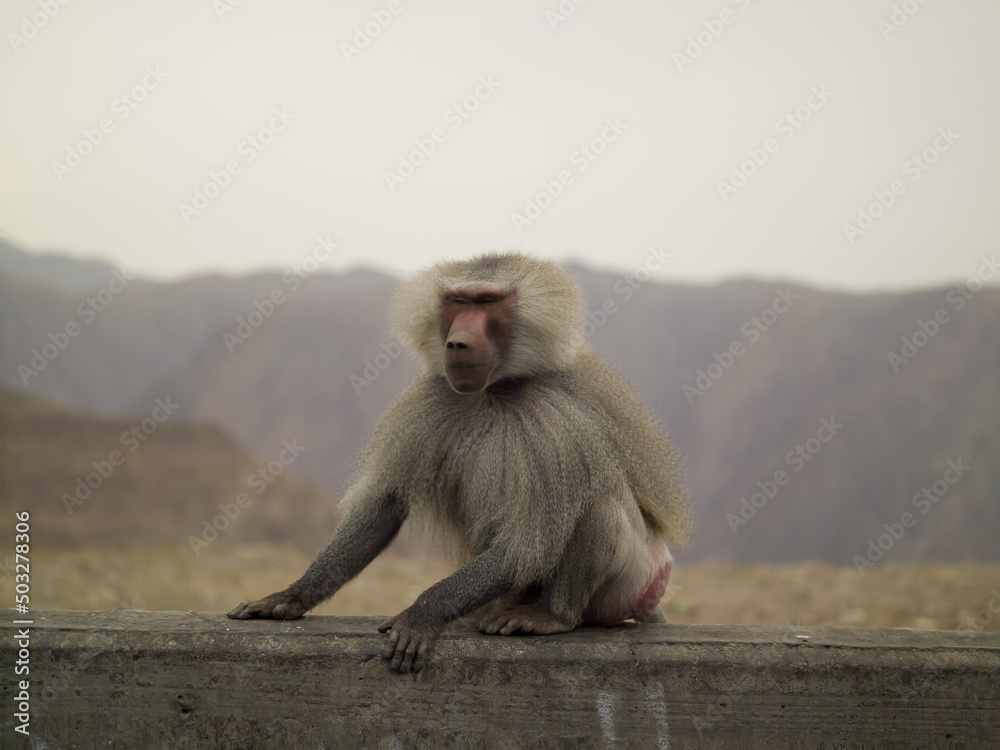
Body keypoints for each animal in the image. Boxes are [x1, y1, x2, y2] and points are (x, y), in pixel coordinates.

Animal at [228, 251, 691, 673]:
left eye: (487, 302)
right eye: (458, 302)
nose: (457, 342)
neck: (494, 390)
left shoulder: (556, 423)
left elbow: (524, 544)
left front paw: (422, 613)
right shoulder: (430, 398)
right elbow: (385, 506)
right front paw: (291, 596)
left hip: (633, 580)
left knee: (598, 502)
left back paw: (552, 617)